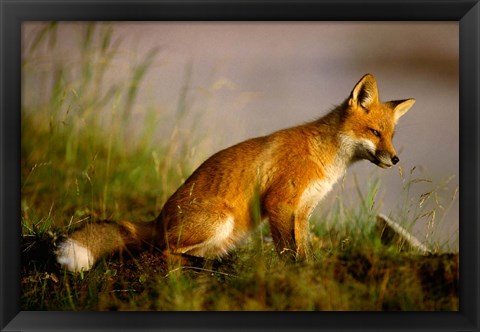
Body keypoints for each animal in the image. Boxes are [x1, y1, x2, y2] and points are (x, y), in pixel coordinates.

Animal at [57, 74, 416, 272]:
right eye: (374, 133)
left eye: (391, 136)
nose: (396, 159)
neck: (325, 158)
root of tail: (157, 220)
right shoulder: (279, 203)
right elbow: (287, 250)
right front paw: (293, 274)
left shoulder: (302, 211)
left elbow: (304, 248)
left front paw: (309, 269)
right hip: (220, 220)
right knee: (166, 252)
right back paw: (198, 265)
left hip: (231, 232)